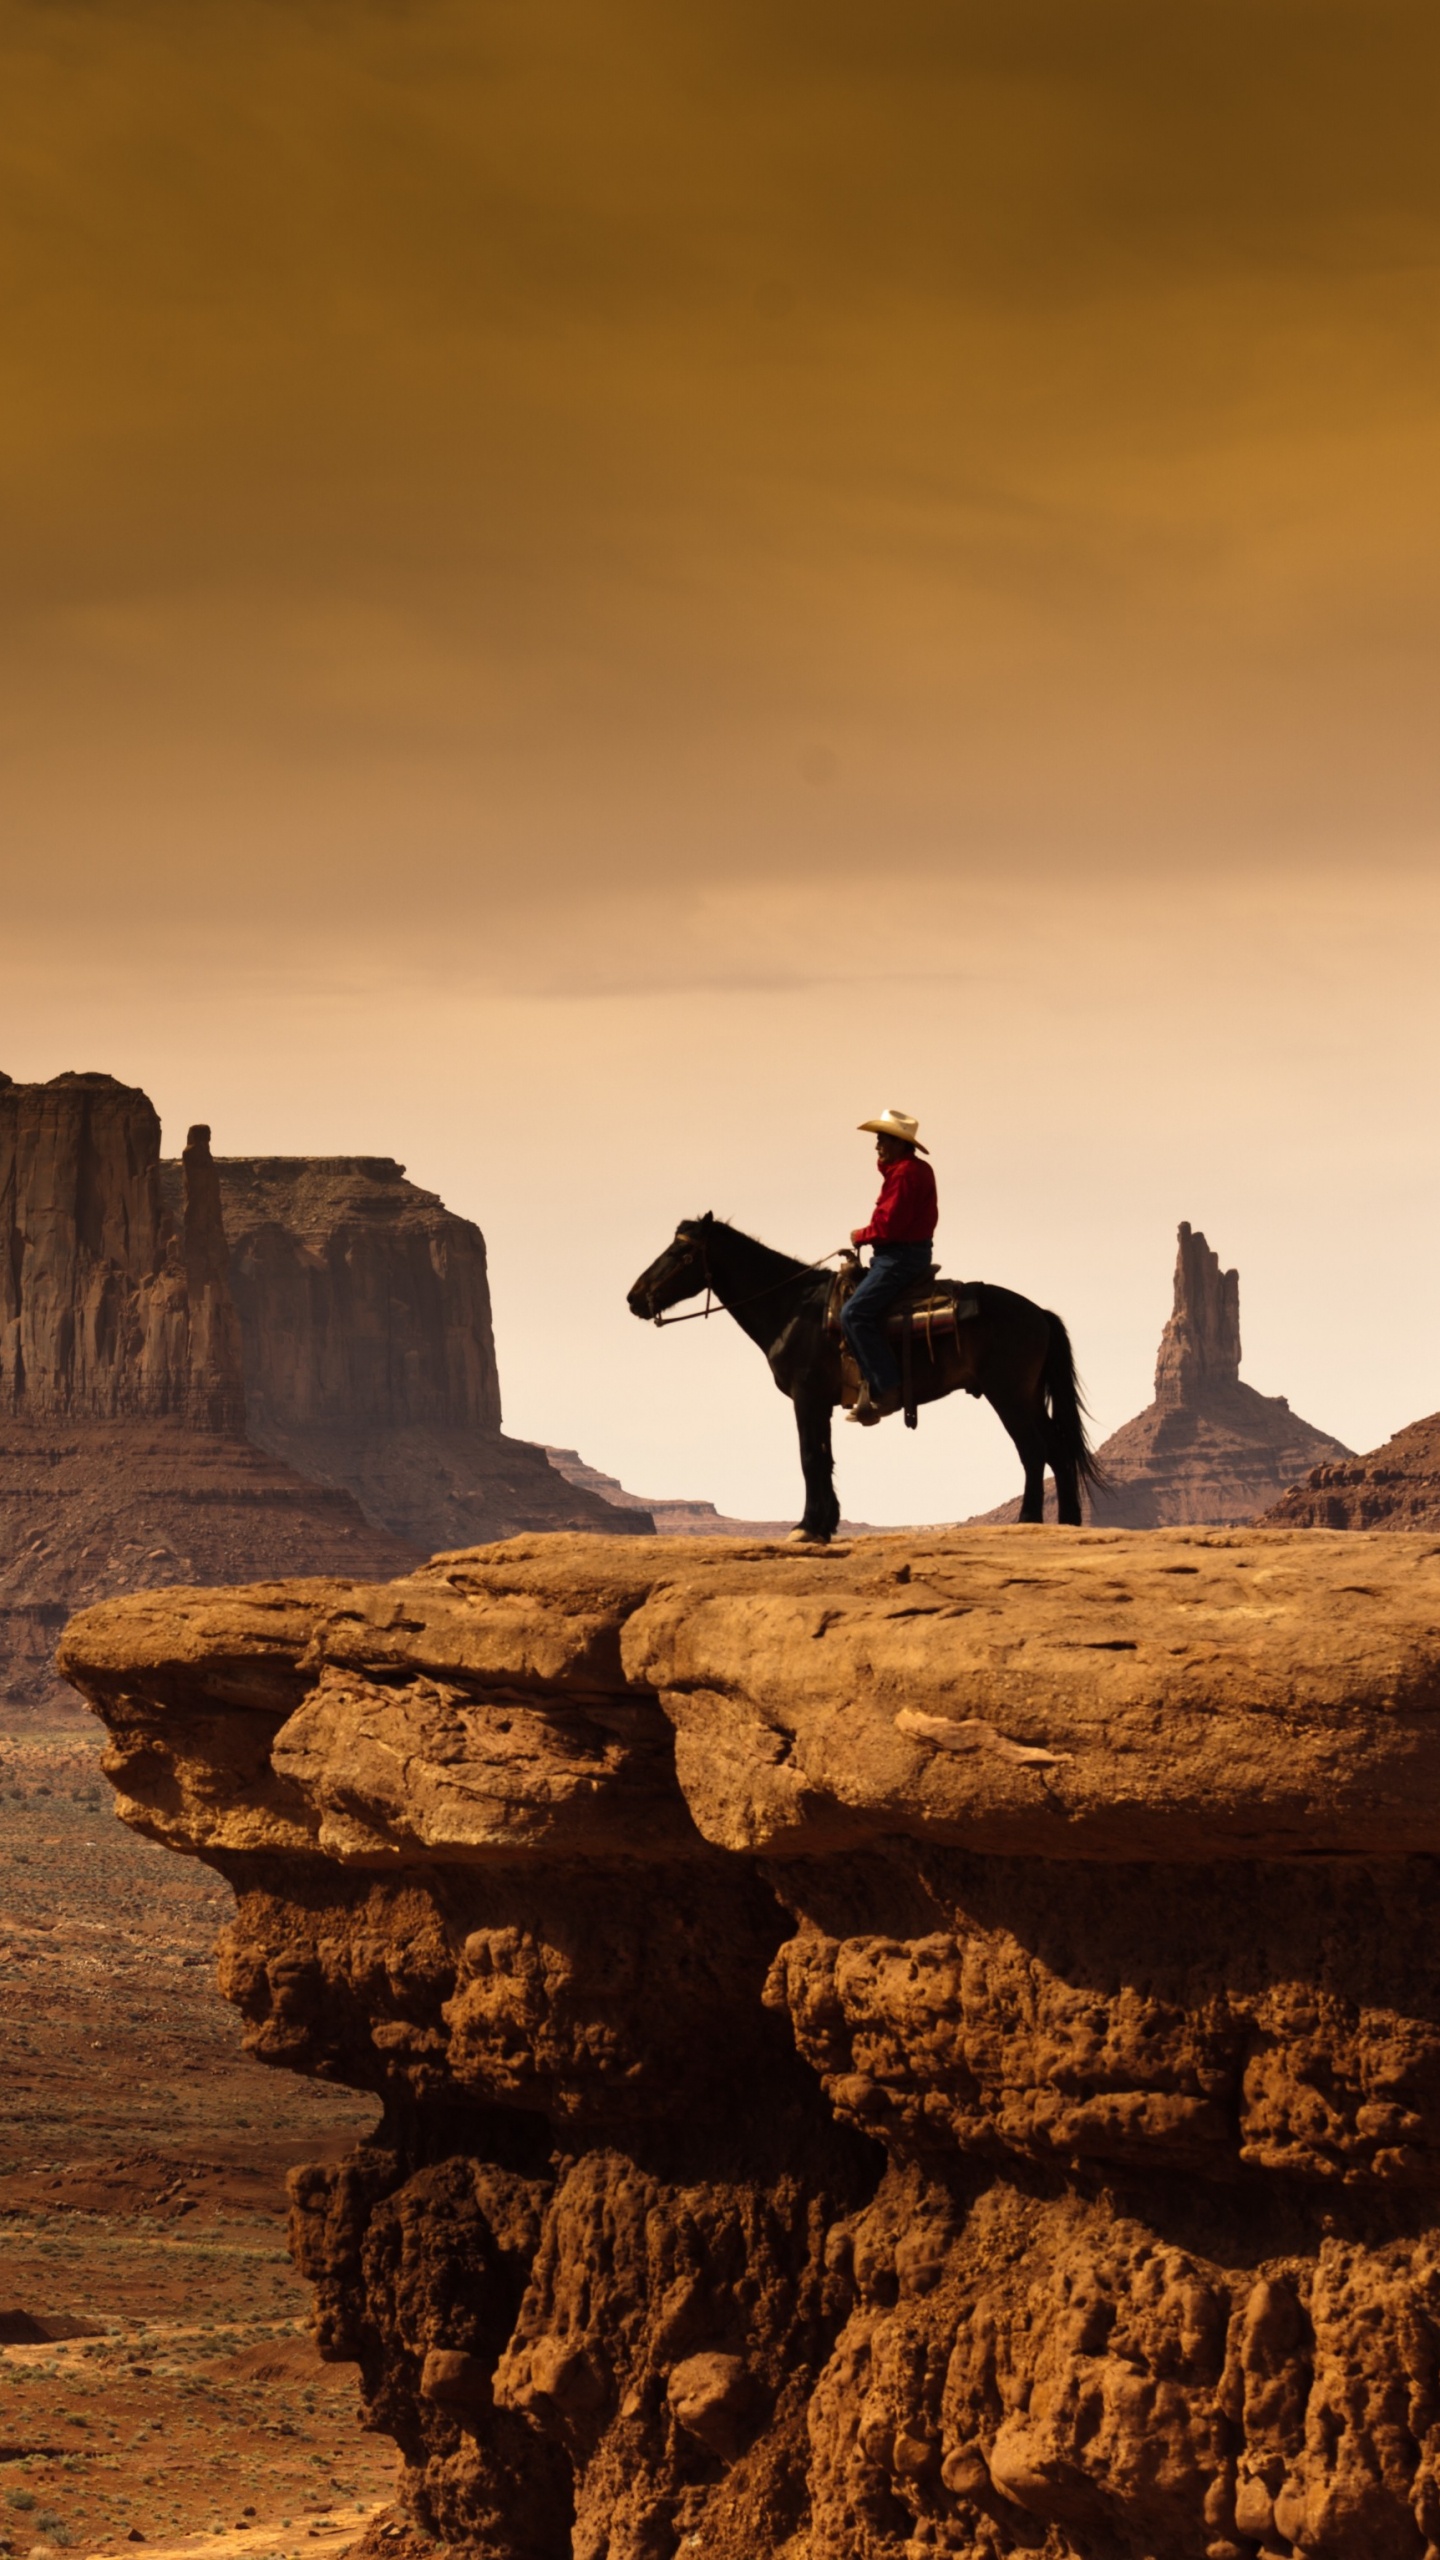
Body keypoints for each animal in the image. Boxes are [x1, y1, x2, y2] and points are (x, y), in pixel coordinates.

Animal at [622, 1213, 1101, 1536]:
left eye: (681, 1252)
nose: (634, 1298)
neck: (794, 1310)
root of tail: (1038, 1313)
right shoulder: (821, 1403)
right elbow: (824, 1457)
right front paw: (824, 1525)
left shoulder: (806, 1396)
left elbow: (809, 1457)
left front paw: (807, 1527)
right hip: (1030, 1396)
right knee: (1058, 1450)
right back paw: (1068, 1524)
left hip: (1010, 1395)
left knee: (1033, 1451)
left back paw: (1028, 1520)